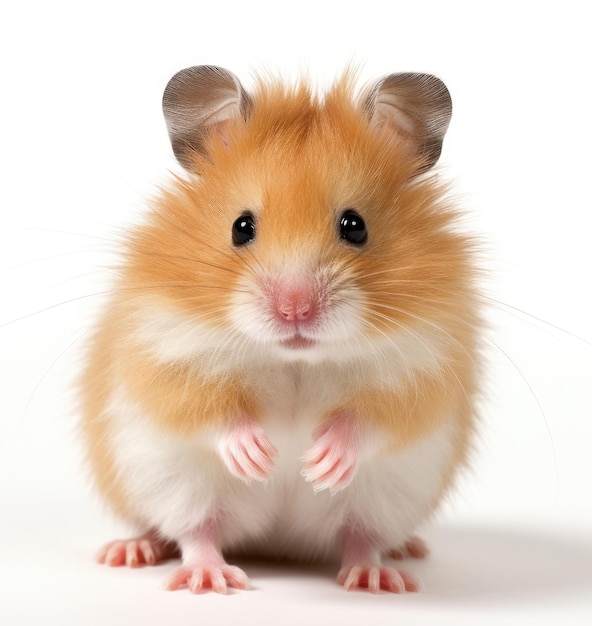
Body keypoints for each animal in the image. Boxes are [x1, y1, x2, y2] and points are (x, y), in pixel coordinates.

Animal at [82, 66, 480, 592]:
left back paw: (381, 573)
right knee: (195, 532)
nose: (295, 311)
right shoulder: (162, 354)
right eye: (241, 227)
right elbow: (212, 412)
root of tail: (277, 546)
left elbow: (370, 420)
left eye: (355, 225)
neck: (296, 359)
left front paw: (319, 462)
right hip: (173, 483)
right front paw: (261, 457)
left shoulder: (423, 374)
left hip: (386, 498)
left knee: (362, 536)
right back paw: (178, 568)